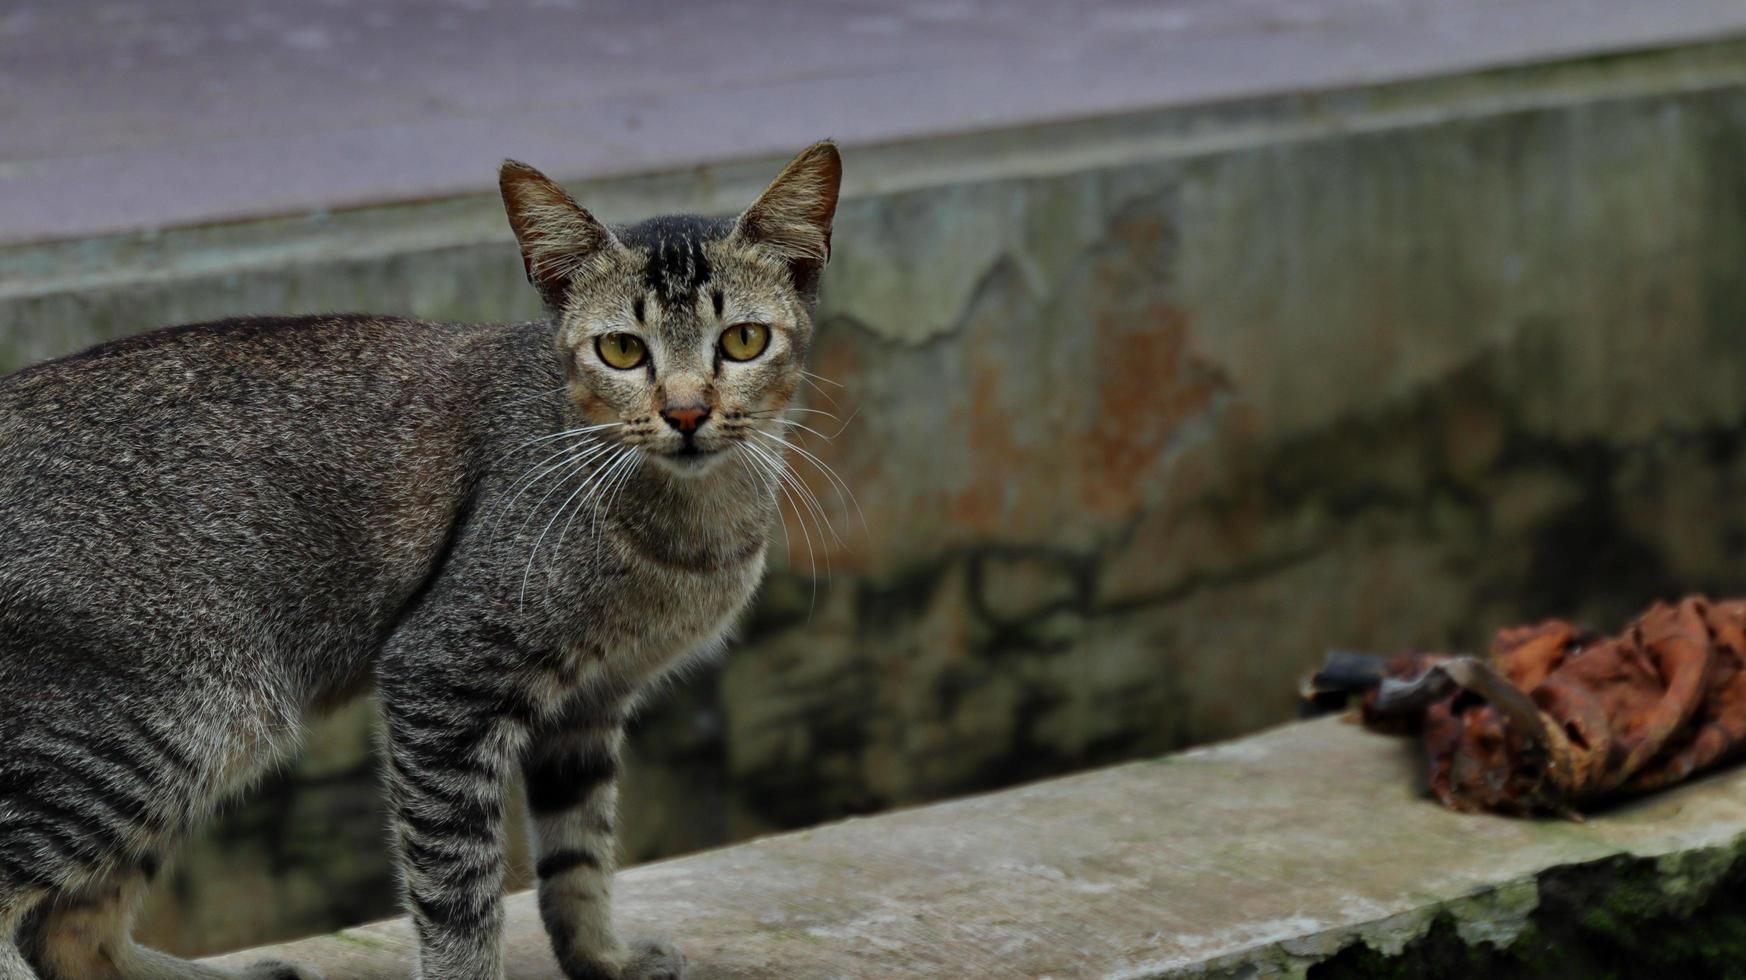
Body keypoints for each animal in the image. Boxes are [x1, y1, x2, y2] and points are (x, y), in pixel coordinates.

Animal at [0, 139, 841, 978]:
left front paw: (603, 959)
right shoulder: (441, 681)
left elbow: (579, 858)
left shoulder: (589, 709)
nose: (687, 412)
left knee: (71, 930)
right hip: (179, 719)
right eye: (622, 350)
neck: (689, 529)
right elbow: (459, 892)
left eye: (742, 341)